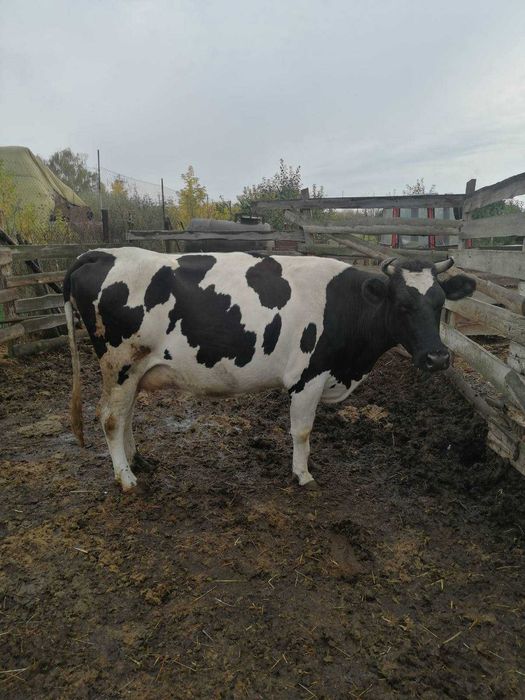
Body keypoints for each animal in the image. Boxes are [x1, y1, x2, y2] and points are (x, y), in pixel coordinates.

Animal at [64, 249, 475, 492]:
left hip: (132, 372)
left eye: (439, 302)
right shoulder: (308, 377)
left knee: (126, 415)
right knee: (111, 417)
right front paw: (303, 474)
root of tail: (101, 253)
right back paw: (126, 477)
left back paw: (138, 460)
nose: (438, 359)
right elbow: (302, 431)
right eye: (402, 304)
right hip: (119, 364)